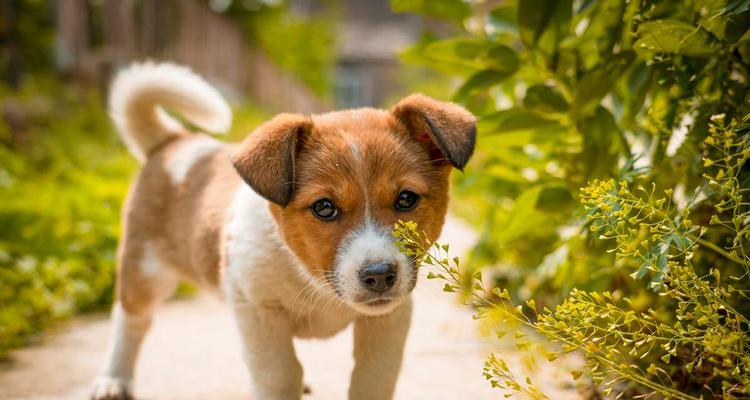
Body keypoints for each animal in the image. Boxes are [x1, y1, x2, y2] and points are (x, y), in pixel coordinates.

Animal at [89, 62, 476, 400]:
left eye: (406, 199)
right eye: (324, 207)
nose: (379, 275)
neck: (312, 279)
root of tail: (175, 141)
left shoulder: (388, 319)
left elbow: (373, 377)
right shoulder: (258, 308)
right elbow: (279, 374)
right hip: (144, 272)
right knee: (130, 320)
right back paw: (113, 380)